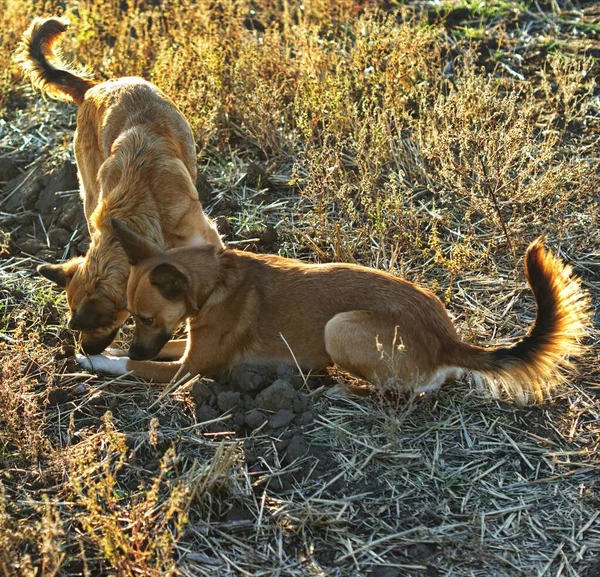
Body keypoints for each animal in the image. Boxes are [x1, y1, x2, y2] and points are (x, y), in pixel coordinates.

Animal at [76, 218, 592, 402]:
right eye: (130, 316)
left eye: (144, 317)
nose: (130, 345)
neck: (215, 278)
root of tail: (446, 339)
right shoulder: (184, 345)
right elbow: (161, 350)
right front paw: (100, 352)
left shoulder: (188, 369)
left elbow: (138, 367)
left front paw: (95, 359)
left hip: (339, 328)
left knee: (408, 391)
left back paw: (340, 389)